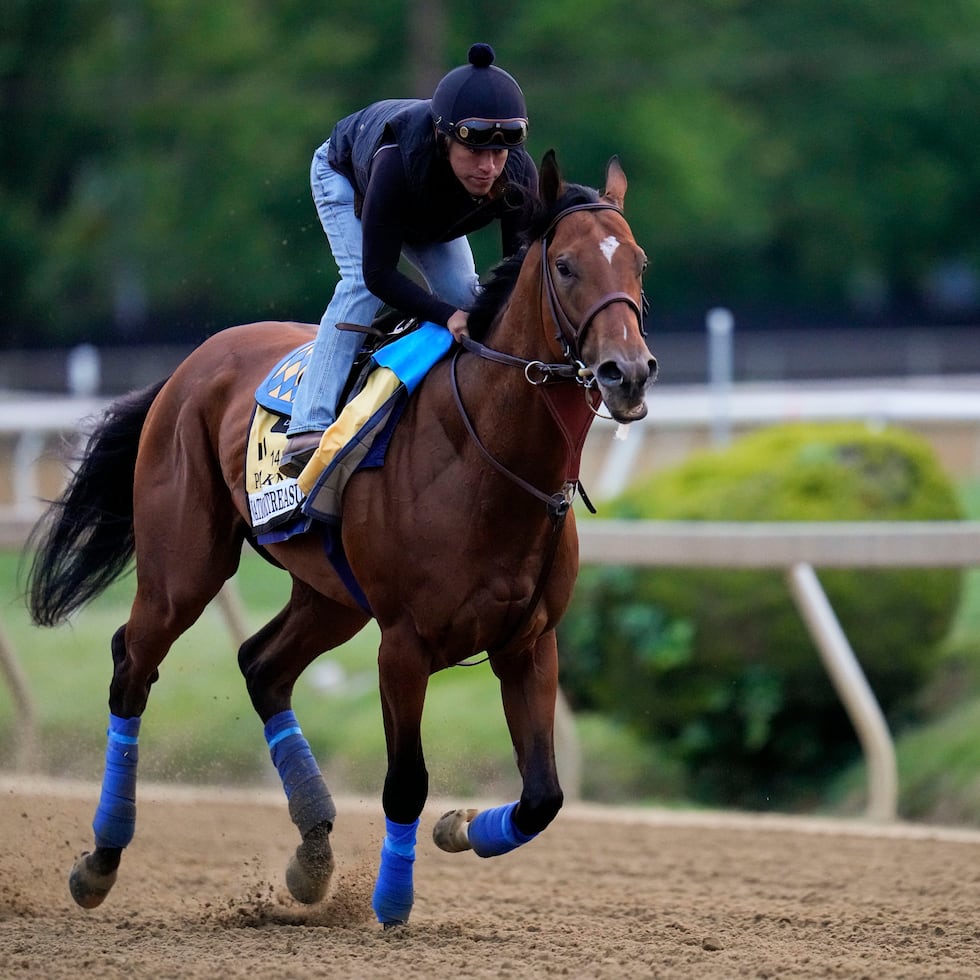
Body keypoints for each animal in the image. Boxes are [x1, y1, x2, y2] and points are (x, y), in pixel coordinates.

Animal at [26, 153, 660, 928]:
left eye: (638, 263)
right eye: (566, 266)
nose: (627, 373)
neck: (488, 456)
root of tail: (190, 364)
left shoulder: (529, 641)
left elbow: (543, 797)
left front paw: (458, 828)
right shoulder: (404, 643)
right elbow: (406, 781)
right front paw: (392, 900)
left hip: (331, 596)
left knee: (262, 666)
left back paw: (313, 853)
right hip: (183, 569)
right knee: (131, 667)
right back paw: (102, 859)